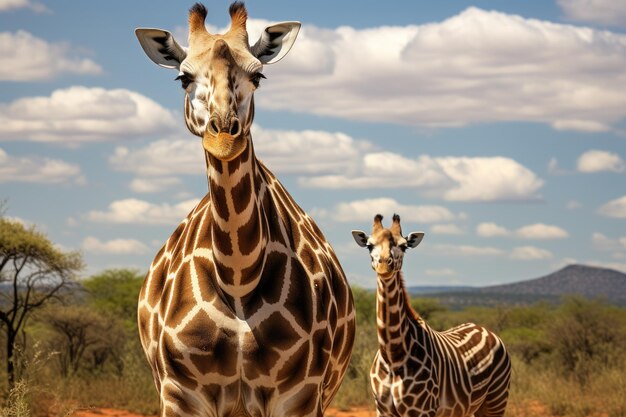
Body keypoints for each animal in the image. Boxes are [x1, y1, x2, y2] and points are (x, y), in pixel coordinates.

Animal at [134, 4, 354, 416]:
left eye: (258, 75)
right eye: (183, 77)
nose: (223, 135)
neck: (238, 276)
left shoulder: (300, 394)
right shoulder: (178, 392)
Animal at [352, 214, 508, 416]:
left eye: (404, 246)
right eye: (369, 245)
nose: (385, 266)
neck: (393, 354)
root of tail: (486, 331)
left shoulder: (422, 410)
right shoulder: (382, 409)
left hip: (496, 399)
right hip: (474, 407)